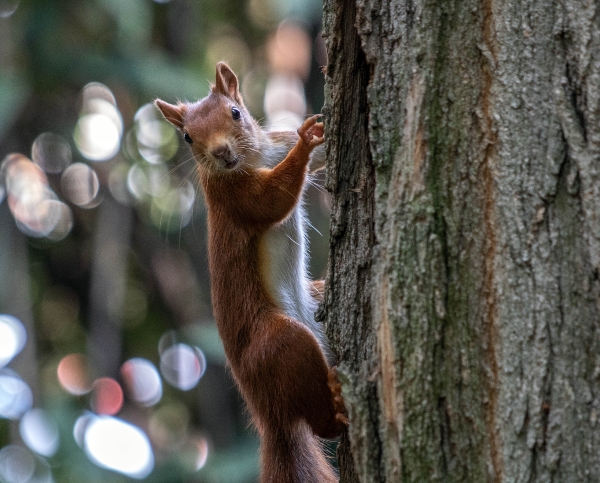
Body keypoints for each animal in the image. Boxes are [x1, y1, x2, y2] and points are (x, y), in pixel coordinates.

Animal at [155, 62, 346, 482]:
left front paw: (318, 130)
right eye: (188, 137)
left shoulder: (273, 145)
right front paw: (306, 142)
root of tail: (268, 415)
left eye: (235, 112)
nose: (221, 152)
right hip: (278, 345)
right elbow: (272, 199)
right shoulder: (236, 199)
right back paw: (338, 411)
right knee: (321, 423)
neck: (253, 159)